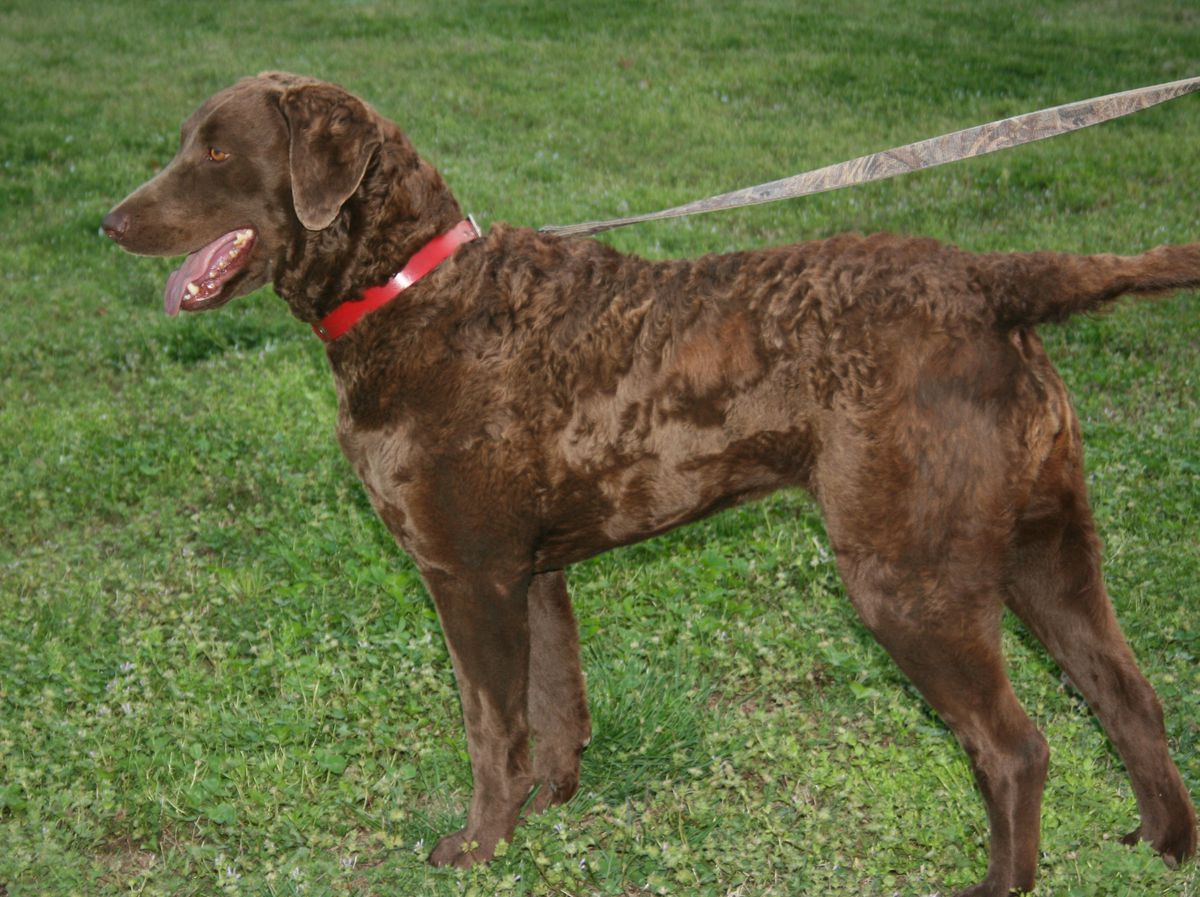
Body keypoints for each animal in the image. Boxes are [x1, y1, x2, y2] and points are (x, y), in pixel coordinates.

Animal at [105, 73, 1200, 892]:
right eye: (188, 142)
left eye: (217, 154)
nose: (110, 222)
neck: (418, 291)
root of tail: (986, 281)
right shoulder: (531, 572)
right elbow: (555, 709)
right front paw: (548, 812)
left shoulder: (467, 574)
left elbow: (490, 725)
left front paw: (478, 847)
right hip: (1045, 545)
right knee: (1131, 697)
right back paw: (1164, 847)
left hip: (911, 575)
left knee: (1015, 747)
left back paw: (1001, 882)